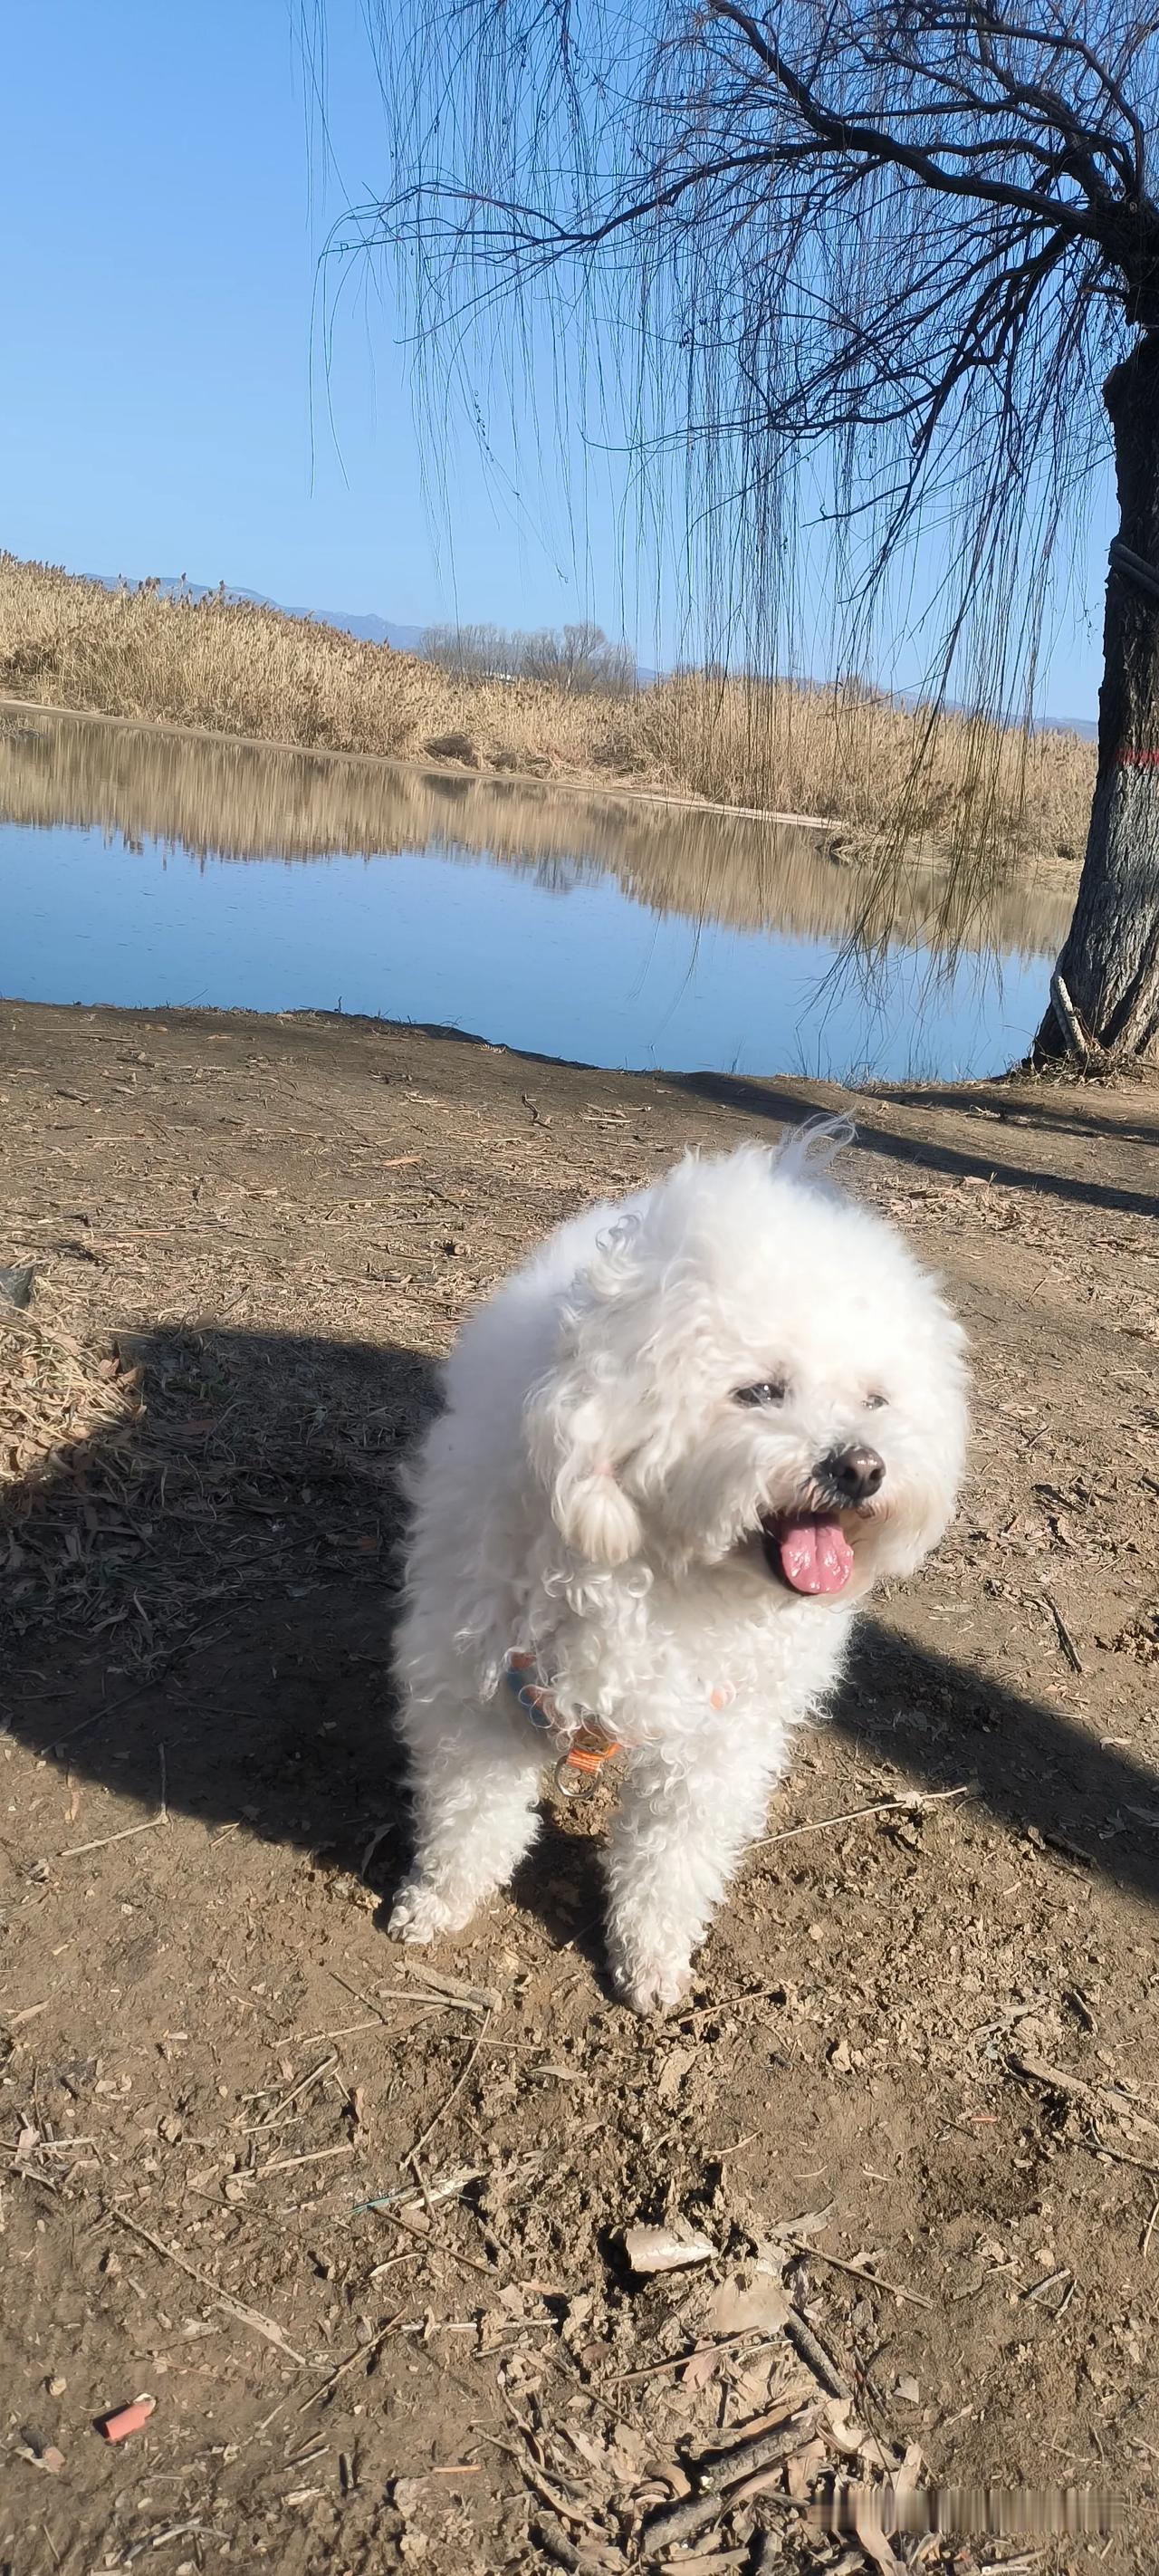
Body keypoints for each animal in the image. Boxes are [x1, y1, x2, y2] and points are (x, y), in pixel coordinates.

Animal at [383, 1133, 963, 2009]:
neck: (666, 1571)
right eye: (760, 1391)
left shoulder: (716, 1740)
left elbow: (673, 1855)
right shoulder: (479, 1681)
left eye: (876, 1400)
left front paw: (651, 1955)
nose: (862, 1469)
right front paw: (440, 1899)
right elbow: (471, 1809)